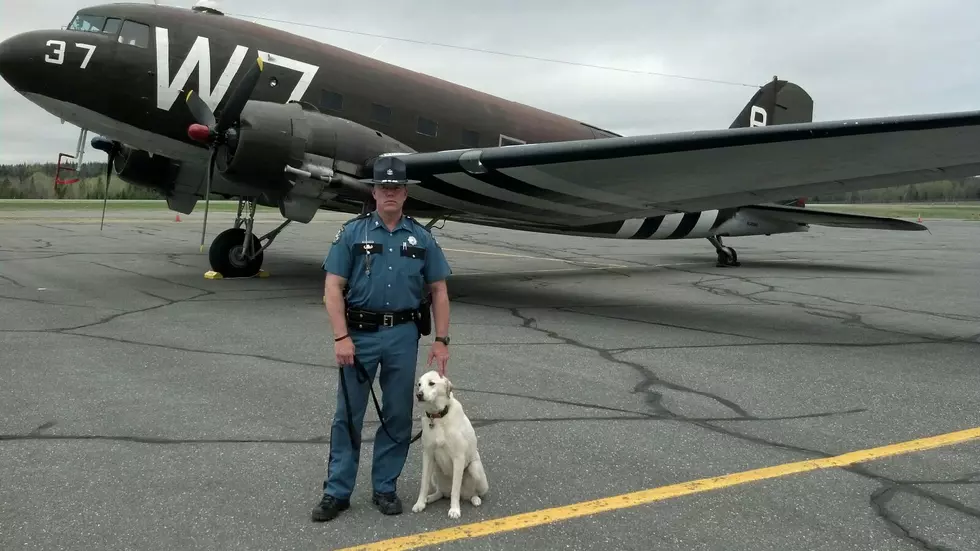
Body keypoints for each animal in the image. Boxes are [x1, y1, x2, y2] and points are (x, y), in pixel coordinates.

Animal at [412, 370, 488, 516]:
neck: (438, 417)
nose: (419, 395)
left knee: (472, 493)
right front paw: (420, 503)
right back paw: (430, 498)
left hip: (475, 468)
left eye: (431, 383)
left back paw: (475, 499)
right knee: (441, 492)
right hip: (435, 471)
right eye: (419, 384)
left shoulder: (458, 458)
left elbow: (455, 489)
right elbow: (424, 484)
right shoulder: (428, 455)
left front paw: (454, 510)